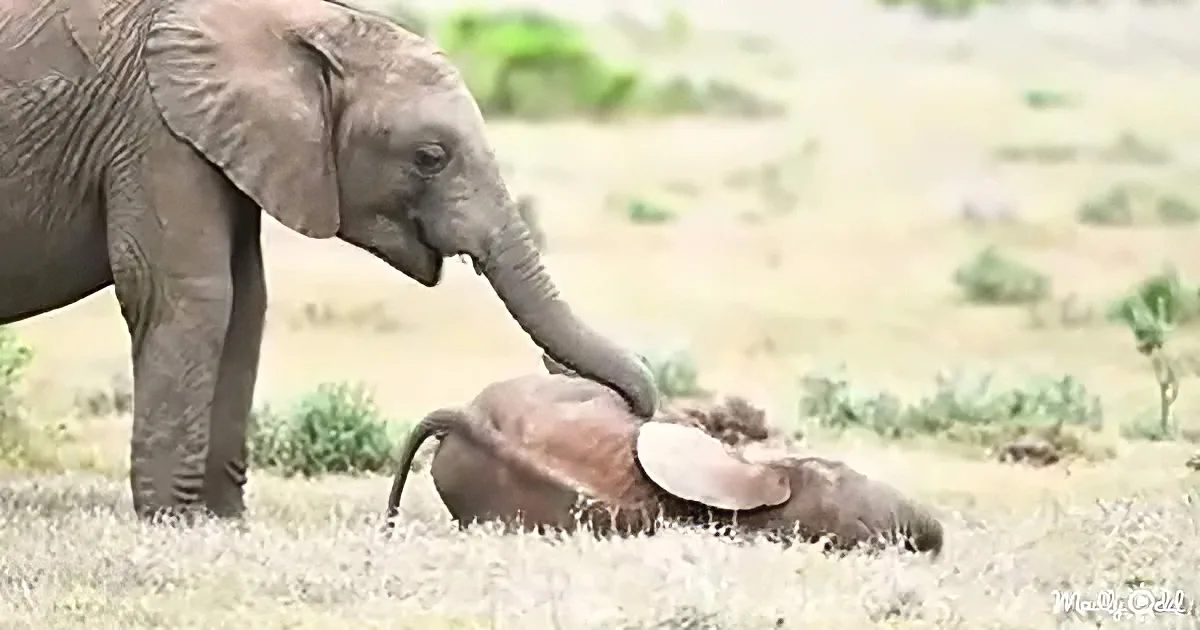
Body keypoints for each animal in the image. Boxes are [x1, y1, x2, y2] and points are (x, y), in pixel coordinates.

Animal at [0, 0, 658, 521]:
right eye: (429, 157)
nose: (627, 408)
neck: (297, 23)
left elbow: (247, 302)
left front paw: (224, 520)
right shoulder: (155, 130)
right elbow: (190, 296)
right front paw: (174, 521)